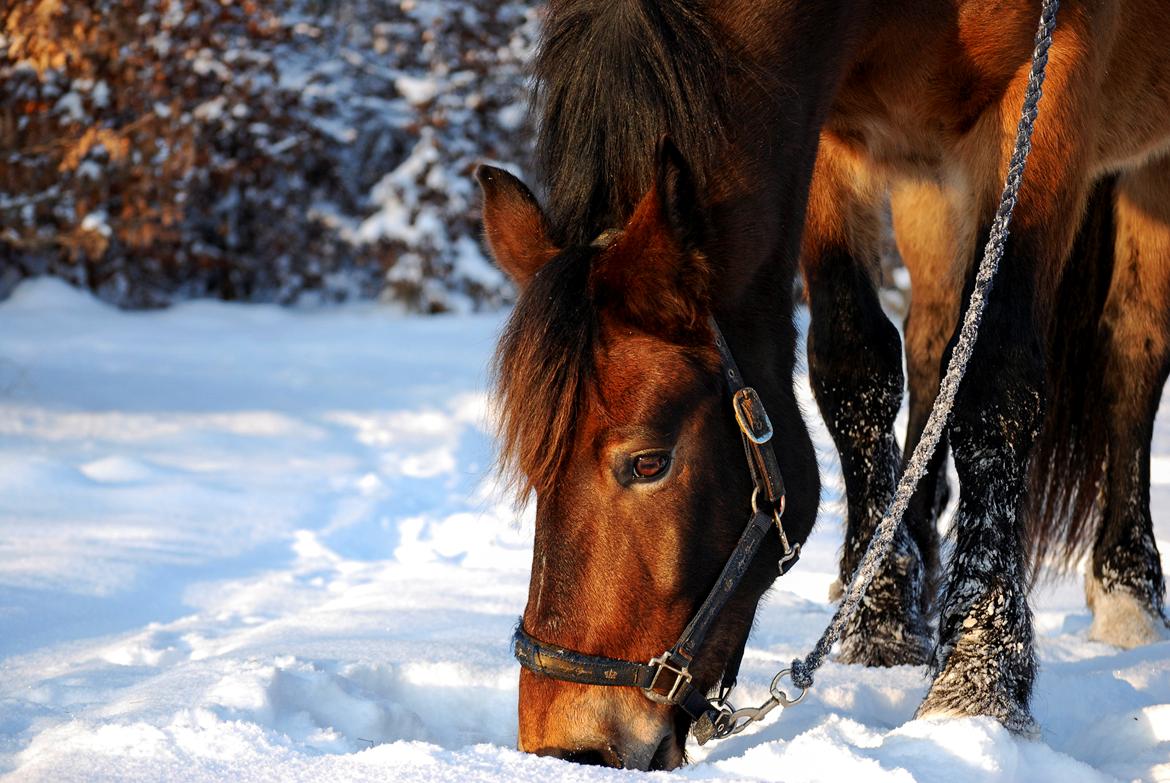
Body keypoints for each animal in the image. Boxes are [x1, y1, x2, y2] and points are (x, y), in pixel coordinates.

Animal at [475, 0, 1170, 767]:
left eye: (649, 462)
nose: (570, 745)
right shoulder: (830, 124)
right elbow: (853, 362)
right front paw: (881, 624)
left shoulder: (1052, 90)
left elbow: (999, 382)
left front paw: (977, 684)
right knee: (934, 340)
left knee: (1132, 349)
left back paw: (1129, 591)